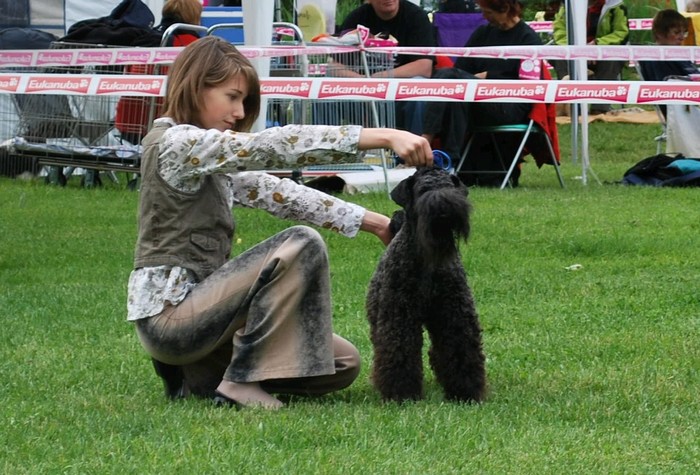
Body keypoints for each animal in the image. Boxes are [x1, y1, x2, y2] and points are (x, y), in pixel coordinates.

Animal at [366, 168, 486, 406]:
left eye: (450, 188)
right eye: (423, 190)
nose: (444, 209)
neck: (428, 261)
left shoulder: (454, 314)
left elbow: (460, 346)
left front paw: (465, 392)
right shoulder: (399, 315)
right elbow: (399, 349)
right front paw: (402, 394)